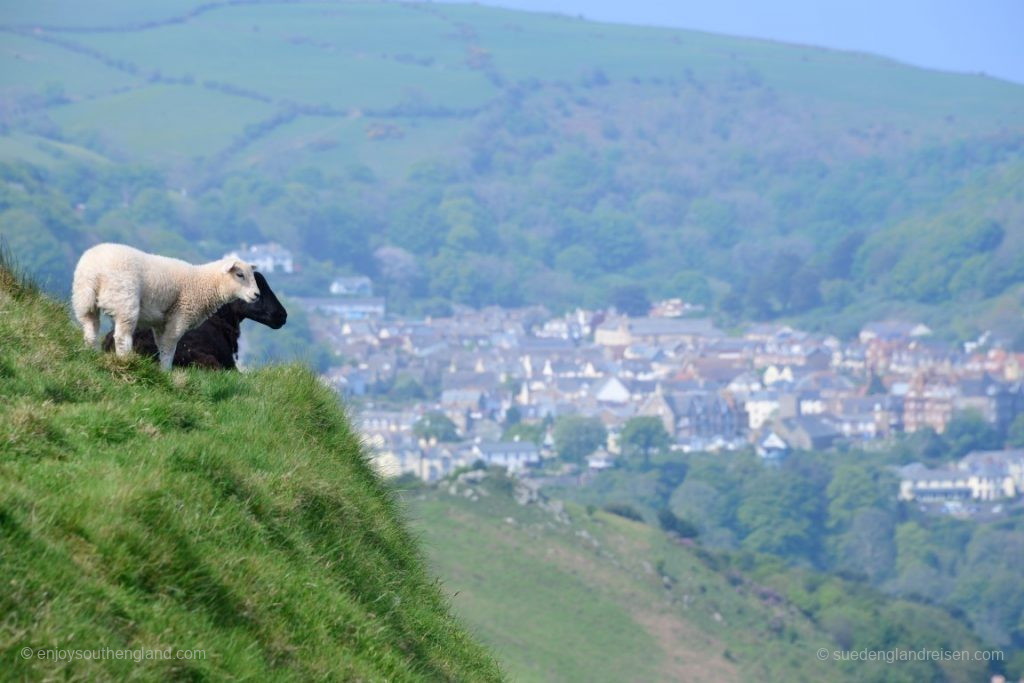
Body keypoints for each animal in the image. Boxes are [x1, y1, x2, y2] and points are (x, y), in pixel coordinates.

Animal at [71, 241, 260, 368]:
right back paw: (126, 360)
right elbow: (169, 346)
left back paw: (90, 353)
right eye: (240, 275)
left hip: (84, 300)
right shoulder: (180, 315)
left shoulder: (162, 321)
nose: (256, 295)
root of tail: (94, 271)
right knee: (122, 337)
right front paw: (166, 370)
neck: (203, 283)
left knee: (90, 329)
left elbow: (161, 345)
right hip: (125, 300)